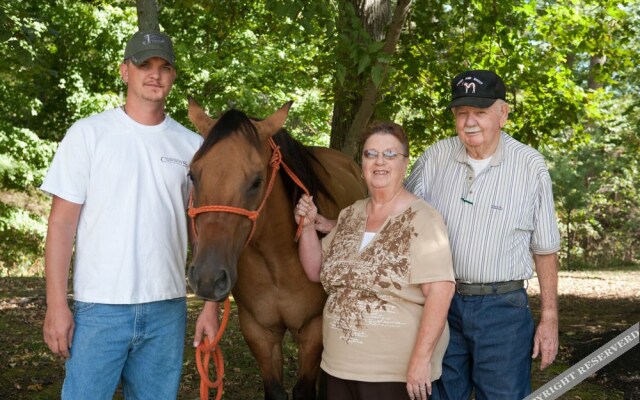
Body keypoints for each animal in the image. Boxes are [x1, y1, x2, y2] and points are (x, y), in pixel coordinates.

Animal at [186, 99, 364, 400]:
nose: (208, 278)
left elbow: (304, 390)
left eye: (257, 180)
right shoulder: (259, 331)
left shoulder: (314, 328)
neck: (278, 262)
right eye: (192, 175)